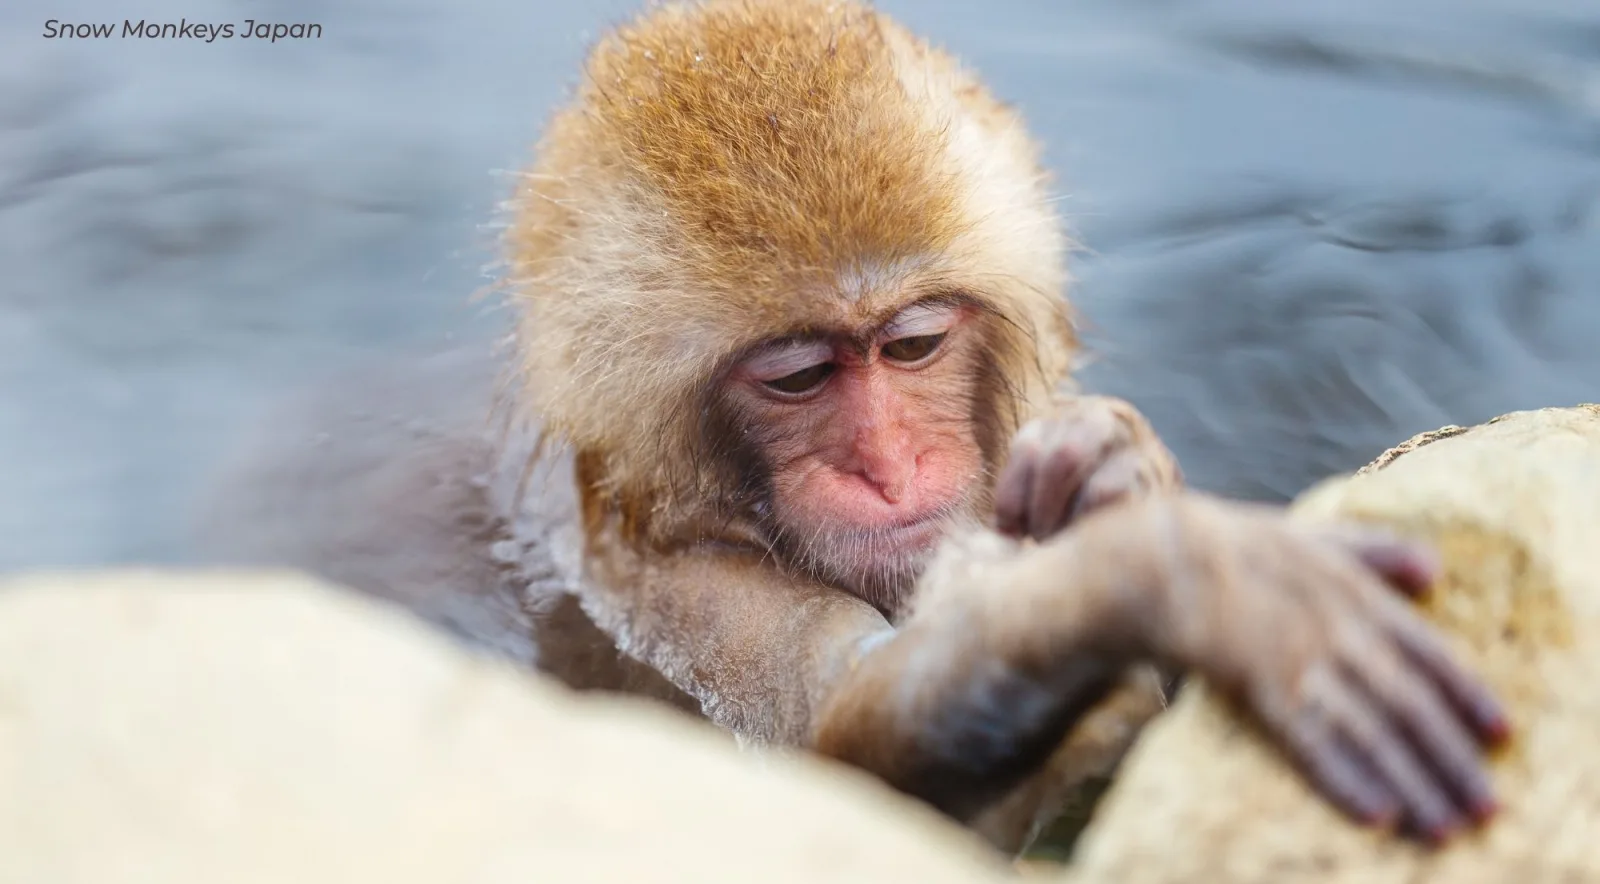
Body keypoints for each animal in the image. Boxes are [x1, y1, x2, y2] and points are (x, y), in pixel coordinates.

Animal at [196, 0, 1511, 858]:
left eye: (912, 346)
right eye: (797, 375)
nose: (889, 465)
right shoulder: (678, 585)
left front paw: (1113, 472)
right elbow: (843, 734)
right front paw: (1181, 573)